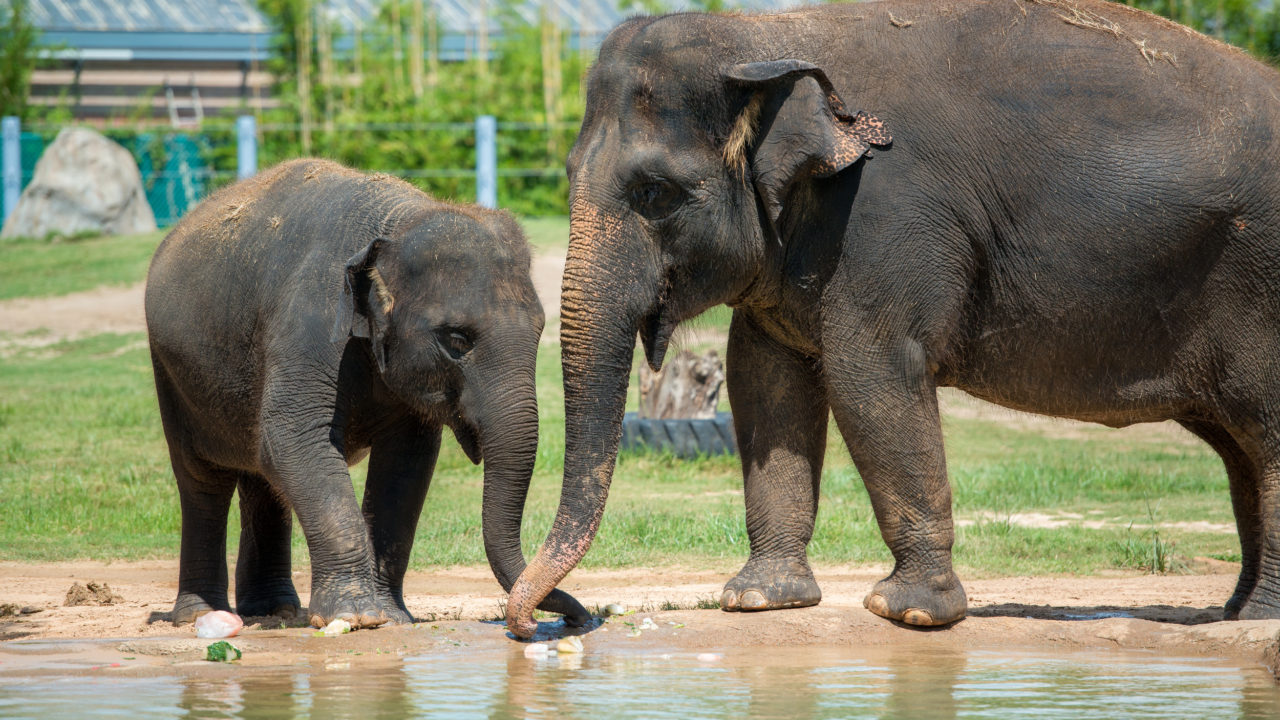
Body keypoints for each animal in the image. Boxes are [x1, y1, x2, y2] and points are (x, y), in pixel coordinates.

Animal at [147, 158, 586, 627]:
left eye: (540, 330)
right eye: (456, 339)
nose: (570, 619)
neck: (396, 222)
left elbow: (405, 466)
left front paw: (391, 616)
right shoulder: (309, 326)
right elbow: (295, 440)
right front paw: (356, 616)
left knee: (261, 478)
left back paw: (275, 610)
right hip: (171, 375)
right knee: (202, 481)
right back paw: (200, 614)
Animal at [504, 0, 1280, 632]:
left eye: (656, 193)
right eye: (566, 175)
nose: (555, 619)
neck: (765, 35)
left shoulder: (887, 213)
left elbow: (869, 375)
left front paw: (908, 612)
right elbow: (764, 379)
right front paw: (760, 600)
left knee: (1264, 436)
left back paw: (1253, 620)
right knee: (1240, 447)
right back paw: (1235, 613)